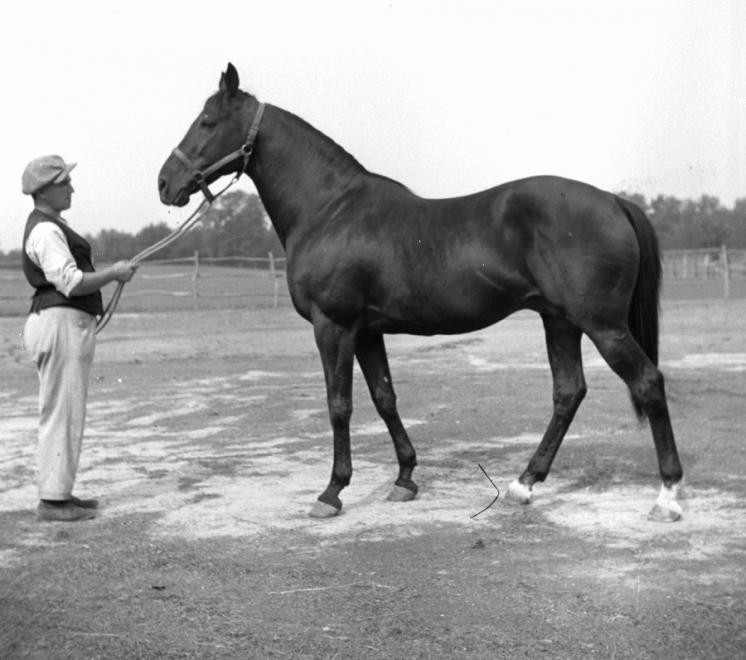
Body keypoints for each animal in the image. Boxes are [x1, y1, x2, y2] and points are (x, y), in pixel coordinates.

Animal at [157, 64, 680, 524]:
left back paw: (668, 497)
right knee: (568, 393)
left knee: (647, 383)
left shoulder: (334, 326)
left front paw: (332, 492)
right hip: (561, 321)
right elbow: (384, 397)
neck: (329, 209)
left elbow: (339, 405)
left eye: (207, 121)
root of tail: (613, 200)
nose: (165, 183)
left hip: (602, 325)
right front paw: (405, 479)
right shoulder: (367, 332)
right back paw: (523, 484)